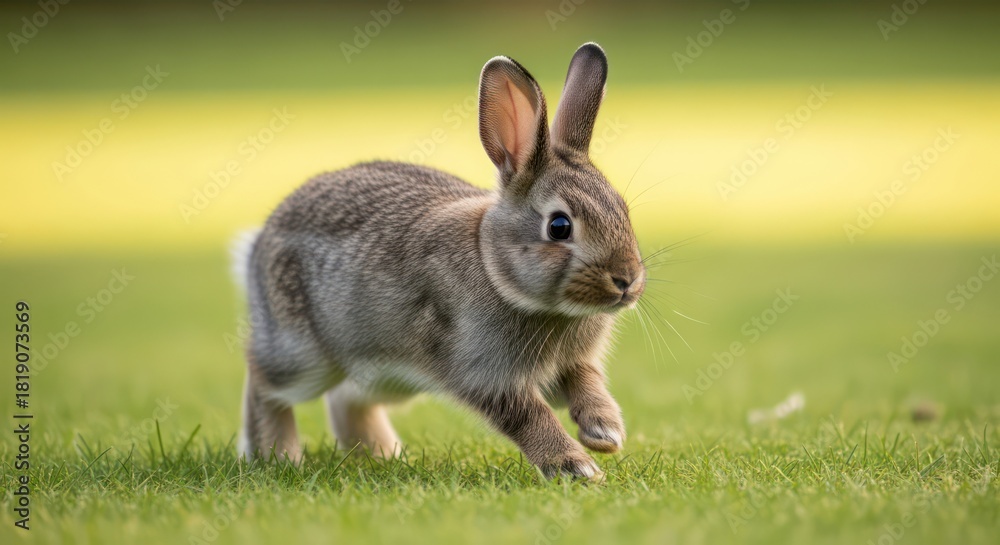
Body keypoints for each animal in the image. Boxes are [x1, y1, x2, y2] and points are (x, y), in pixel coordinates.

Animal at [234, 42, 645, 479]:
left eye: (623, 211)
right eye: (559, 226)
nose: (627, 280)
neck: (494, 267)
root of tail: (260, 241)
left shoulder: (573, 364)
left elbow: (587, 383)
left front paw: (605, 432)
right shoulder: (483, 372)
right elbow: (528, 416)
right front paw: (576, 467)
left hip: (384, 374)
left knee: (346, 397)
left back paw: (382, 455)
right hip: (303, 355)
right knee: (264, 382)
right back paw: (277, 456)